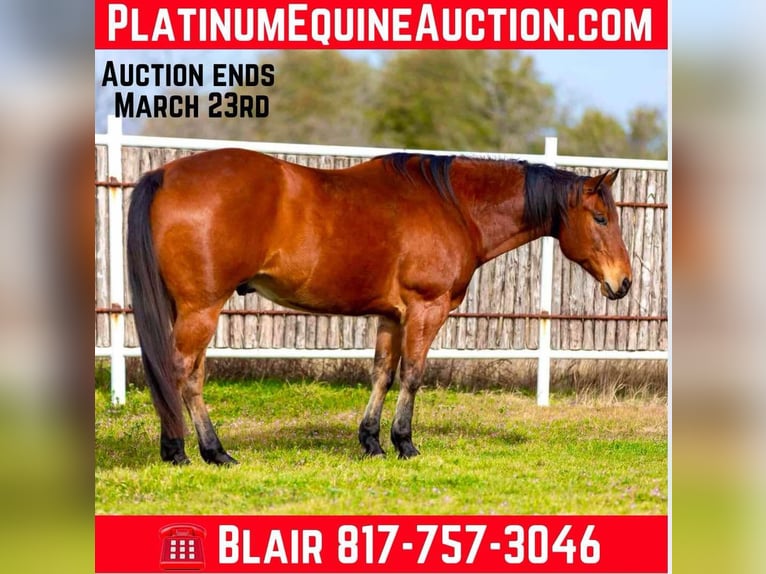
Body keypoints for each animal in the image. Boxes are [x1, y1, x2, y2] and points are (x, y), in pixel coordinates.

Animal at [127, 150, 632, 465]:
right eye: (600, 219)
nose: (623, 282)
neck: (453, 206)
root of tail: (165, 175)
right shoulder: (426, 309)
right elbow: (412, 374)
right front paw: (403, 442)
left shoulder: (391, 316)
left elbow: (382, 374)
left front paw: (370, 441)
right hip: (202, 309)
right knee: (184, 373)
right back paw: (199, 451)